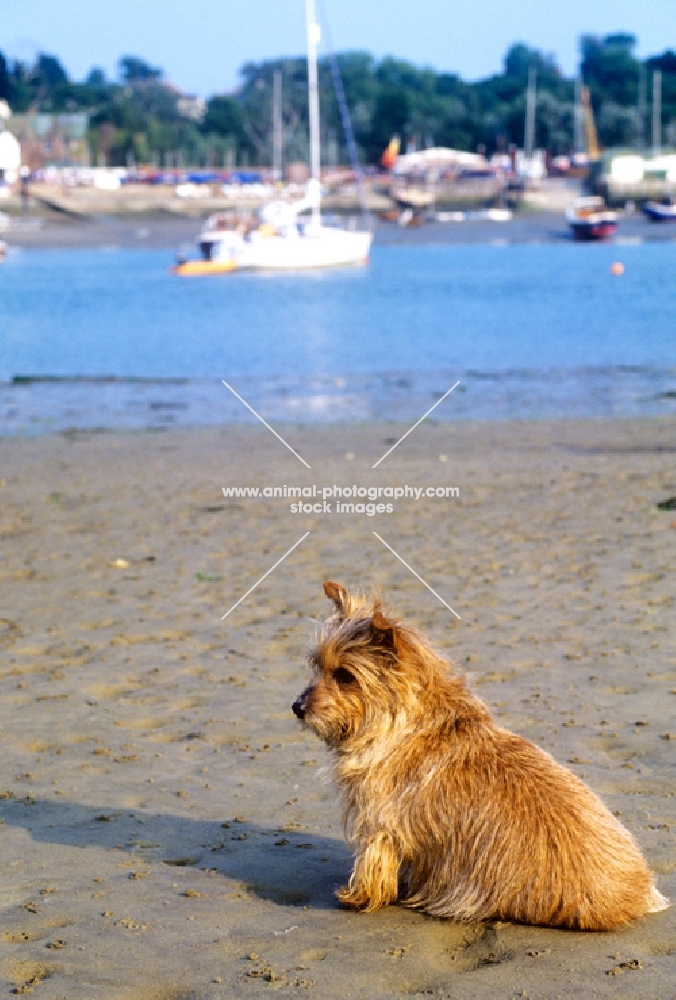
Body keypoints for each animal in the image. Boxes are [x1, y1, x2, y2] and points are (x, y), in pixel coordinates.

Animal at [294, 584, 668, 932]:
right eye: (317, 666)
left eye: (345, 676)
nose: (297, 706)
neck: (406, 723)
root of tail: (629, 902)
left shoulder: (378, 823)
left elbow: (373, 862)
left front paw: (358, 896)